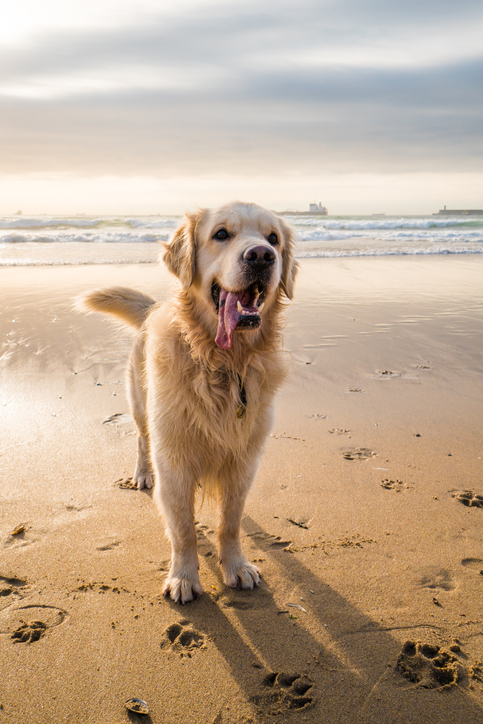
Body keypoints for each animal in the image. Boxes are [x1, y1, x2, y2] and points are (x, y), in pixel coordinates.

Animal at [79, 201, 296, 604]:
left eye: (273, 238)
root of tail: (152, 308)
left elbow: (230, 521)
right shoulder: (174, 460)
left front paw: (236, 565)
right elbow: (183, 528)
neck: (224, 363)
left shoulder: (244, 461)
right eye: (221, 234)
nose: (261, 256)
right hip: (141, 407)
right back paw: (142, 474)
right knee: (141, 440)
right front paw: (183, 577)